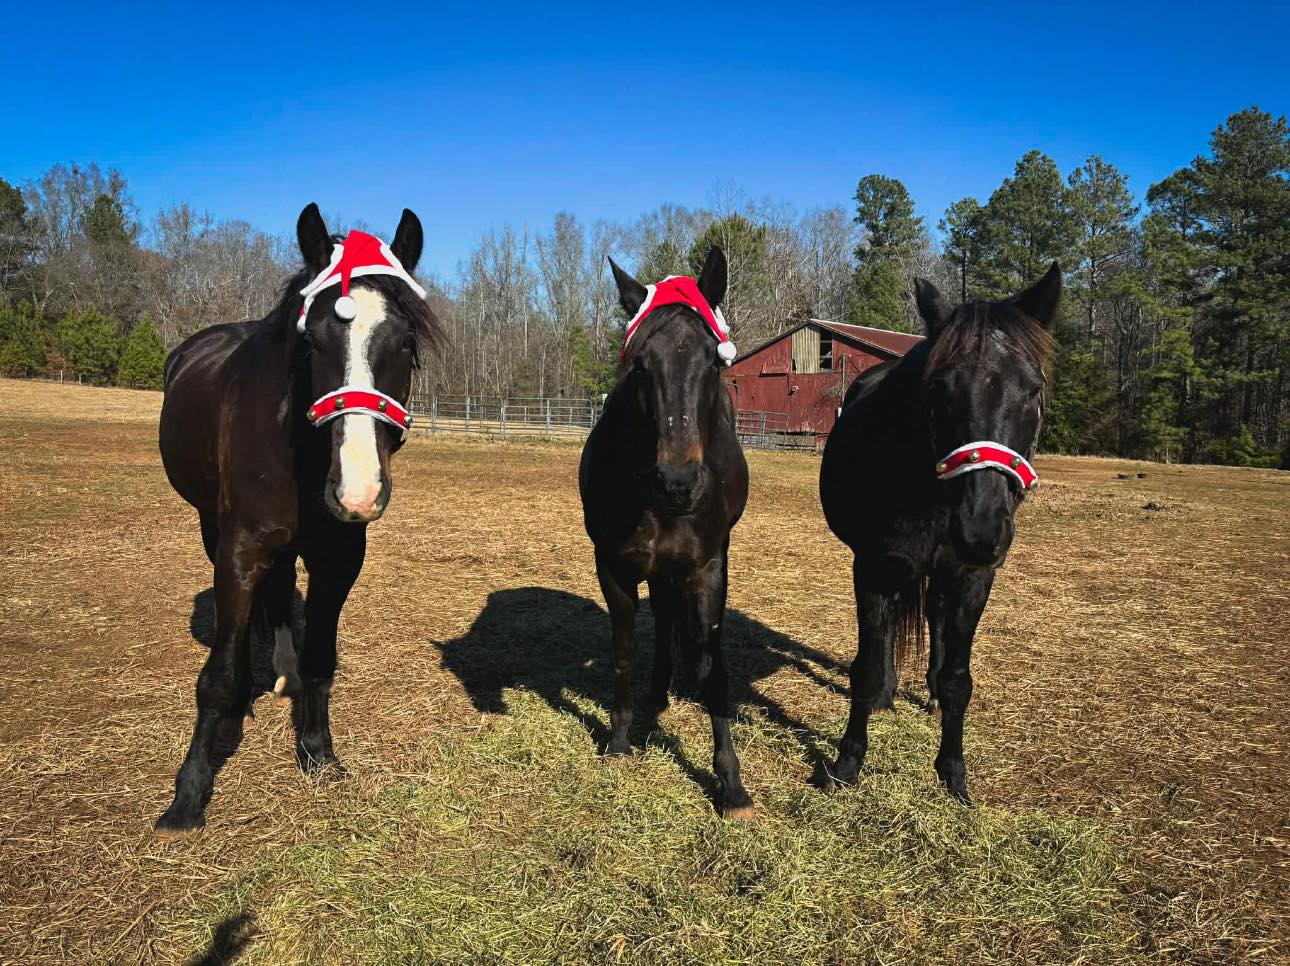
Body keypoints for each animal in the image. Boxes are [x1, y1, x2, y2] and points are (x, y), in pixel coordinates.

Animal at [154, 203, 442, 833]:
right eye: (310, 343)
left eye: (406, 342)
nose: (358, 490)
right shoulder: (240, 550)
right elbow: (218, 674)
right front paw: (189, 794)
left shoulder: (340, 557)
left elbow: (319, 658)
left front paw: (317, 750)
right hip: (211, 527)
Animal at [578, 247, 755, 819]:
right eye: (639, 365)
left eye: (714, 361)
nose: (677, 482)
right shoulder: (613, 567)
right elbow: (625, 649)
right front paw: (619, 738)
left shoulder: (707, 568)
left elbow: (714, 666)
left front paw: (731, 784)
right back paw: (656, 694)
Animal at [819, 263, 1060, 802]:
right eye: (939, 389)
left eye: (1033, 390)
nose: (981, 529)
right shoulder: (872, 567)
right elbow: (866, 667)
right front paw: (847, 762)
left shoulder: (972, 578)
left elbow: (958, 679)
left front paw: (953, 773)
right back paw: (889, 693)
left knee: (933, 615)